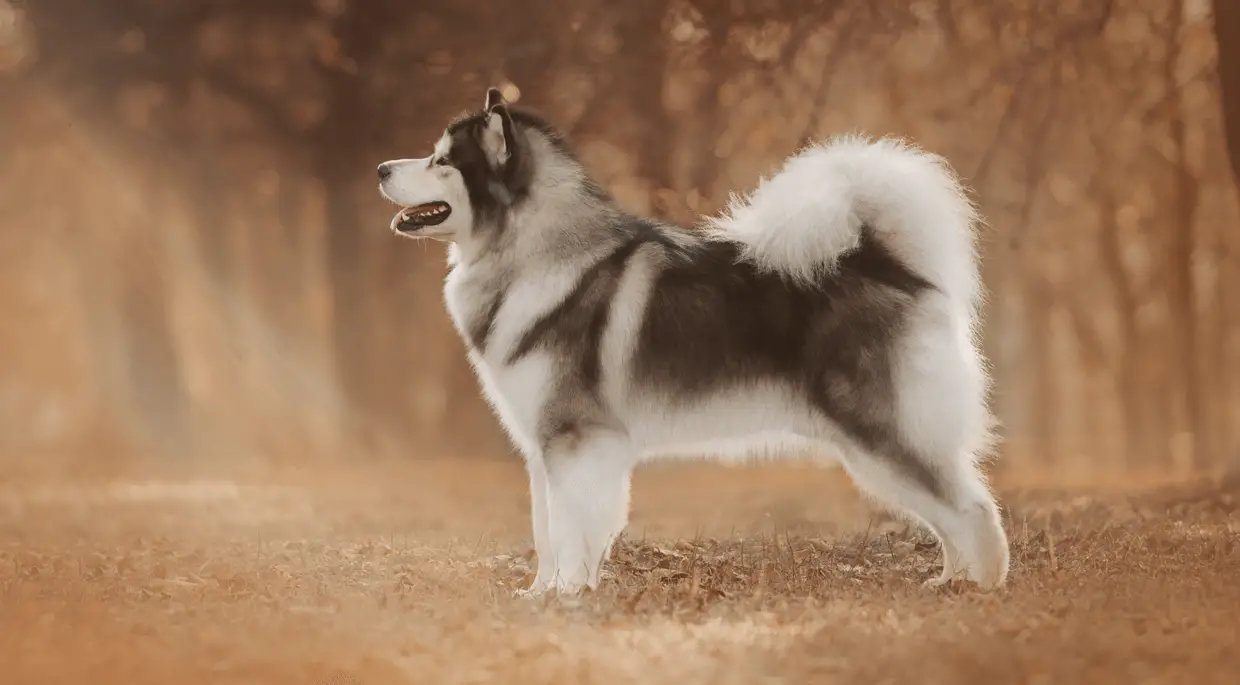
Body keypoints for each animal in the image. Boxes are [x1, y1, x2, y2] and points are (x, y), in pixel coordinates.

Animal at [376, 88, 1006, 595]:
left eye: (440, 161)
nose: (381, 167)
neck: (534, 254)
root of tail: (895, 269)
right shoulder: (544, 448)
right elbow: (546, 530)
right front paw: (541, 596)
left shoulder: (579, 441)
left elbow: (573, 529)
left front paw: (570, 594)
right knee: (951, 516)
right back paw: (949, 581)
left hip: (882, 437)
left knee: (973, 509)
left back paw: (982, 588)